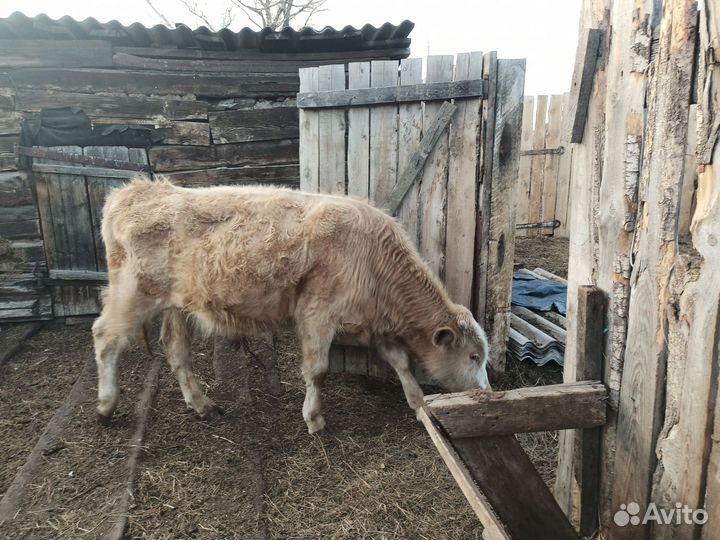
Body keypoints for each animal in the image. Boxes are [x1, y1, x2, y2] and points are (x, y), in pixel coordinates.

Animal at [92, 179, 490, 434]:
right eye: (473, 356)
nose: (486, 393)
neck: (371, 255)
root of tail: (137, 189)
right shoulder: (317, 314)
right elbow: (318, 370)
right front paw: (314, 420)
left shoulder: (374, 324)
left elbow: (401, 362)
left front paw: (418, 402)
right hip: (133, 292)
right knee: (106, 338)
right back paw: (106, 405)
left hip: (175, 305)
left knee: (175, 349)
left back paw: (202, 405)